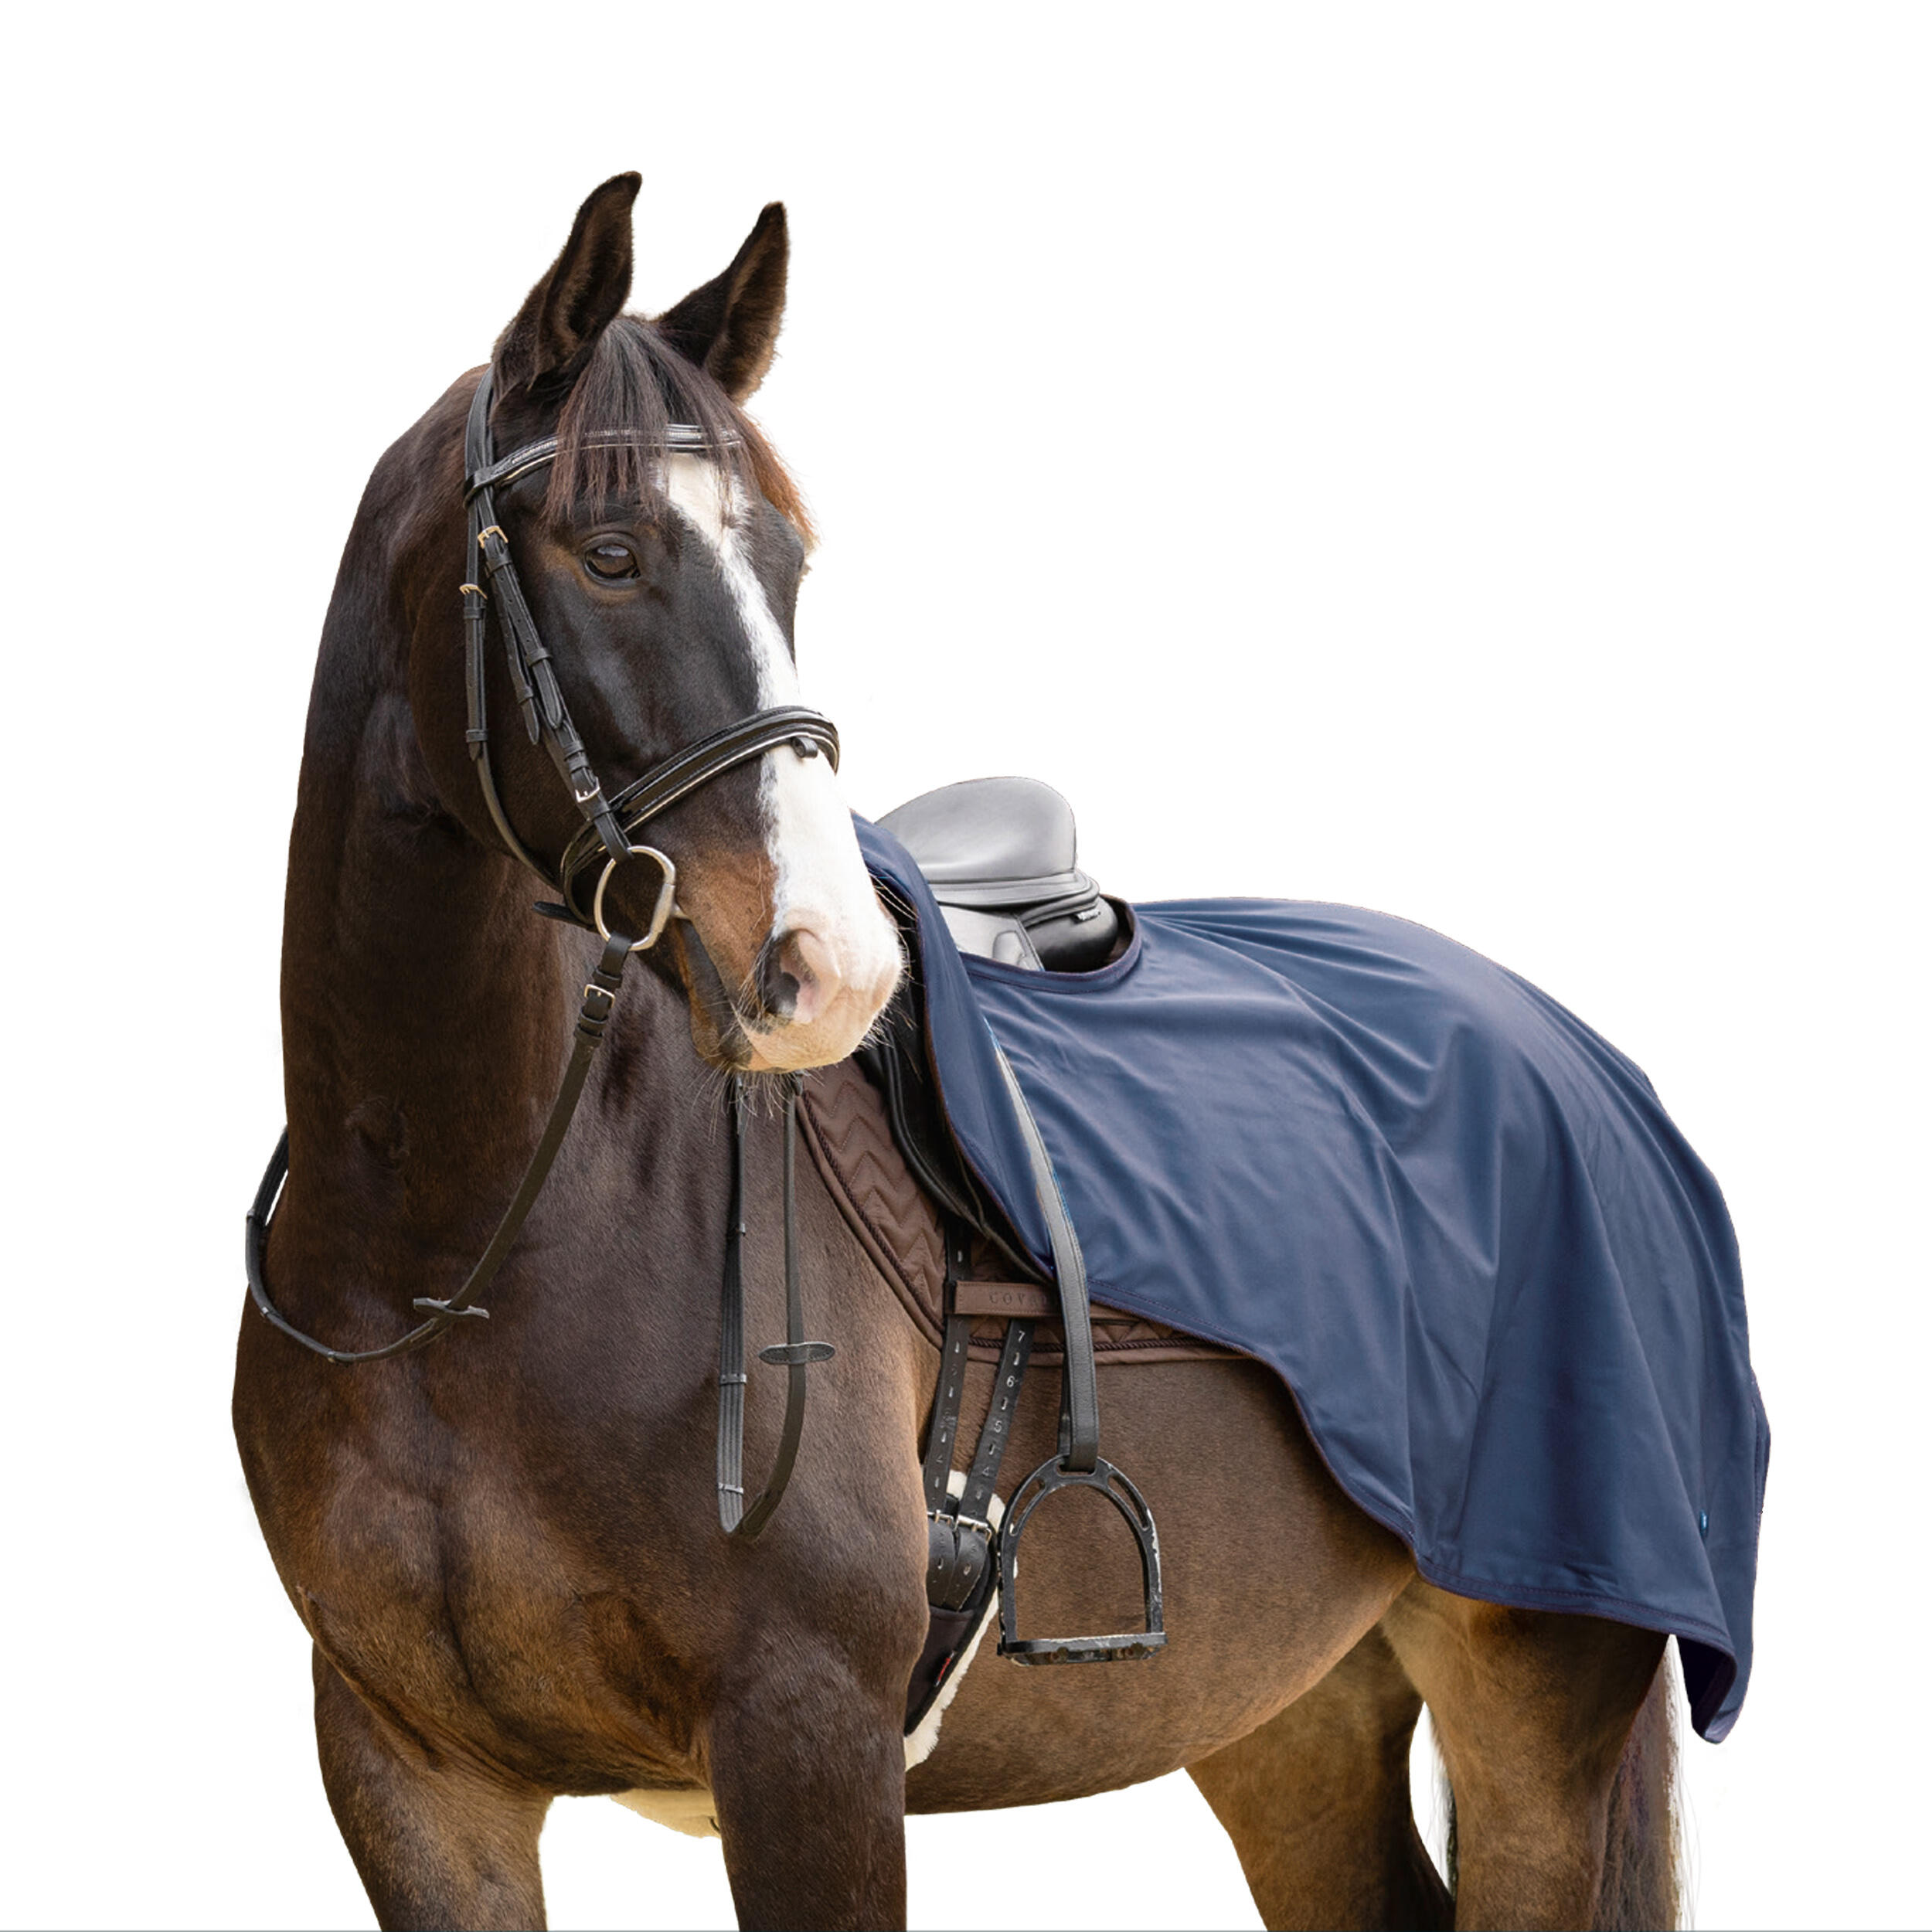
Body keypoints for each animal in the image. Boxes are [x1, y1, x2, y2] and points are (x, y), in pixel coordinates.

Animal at [234, 172, 1683, 1931]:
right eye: (610, 552)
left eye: (788, 563)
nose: (829, 968)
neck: (450, 1242)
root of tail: (1587, 1070)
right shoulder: (412, 1776)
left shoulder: (808, 1739)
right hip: (1290, 1706)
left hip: (1536, 1703)